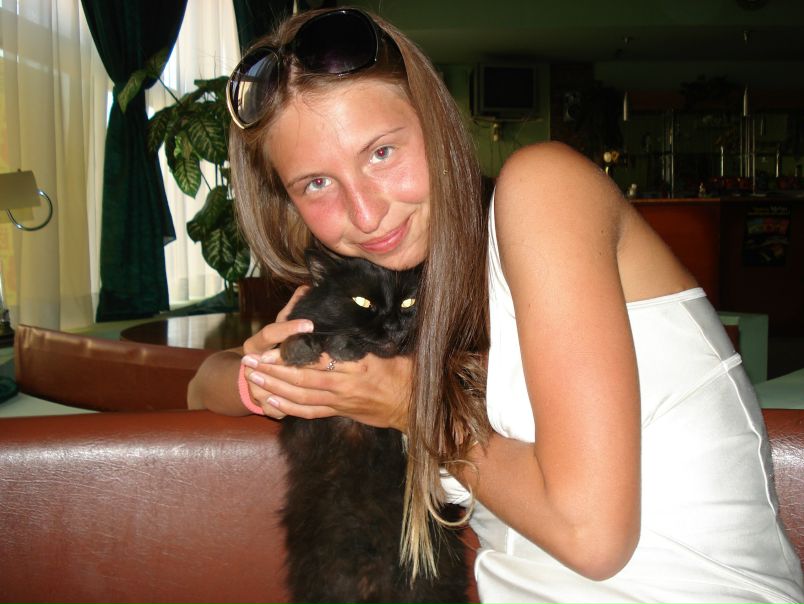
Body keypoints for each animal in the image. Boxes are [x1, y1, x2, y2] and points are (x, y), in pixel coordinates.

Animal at [277, 248, 469, 604]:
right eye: (362, 301)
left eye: (408, 302)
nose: (393, 325)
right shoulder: (307, 427)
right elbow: (303, 336)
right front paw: (300, 348)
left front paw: (344, 347)